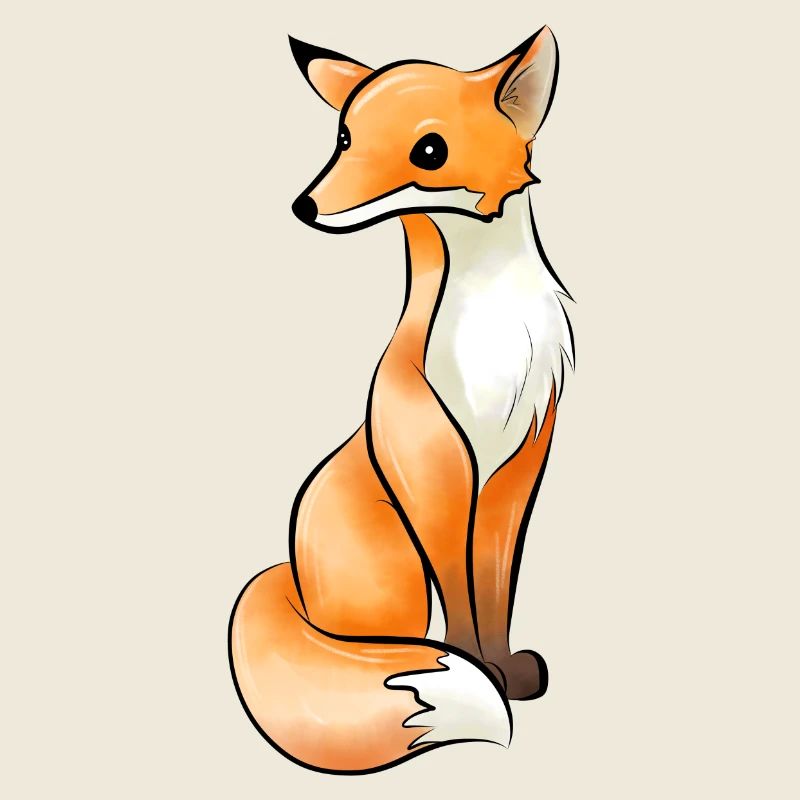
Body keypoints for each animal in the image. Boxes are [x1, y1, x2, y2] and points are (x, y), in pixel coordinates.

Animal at [229, 26, 575, 774]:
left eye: (429, 151)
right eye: (345, 136)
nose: (304, 206)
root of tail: (290, 579)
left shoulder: (515, 469)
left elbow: (495, 586)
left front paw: (506, 670)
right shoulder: (435, 471)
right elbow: (464, 597)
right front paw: (476, 669)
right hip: (396, 571)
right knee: (376, 641)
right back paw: (417, 656)